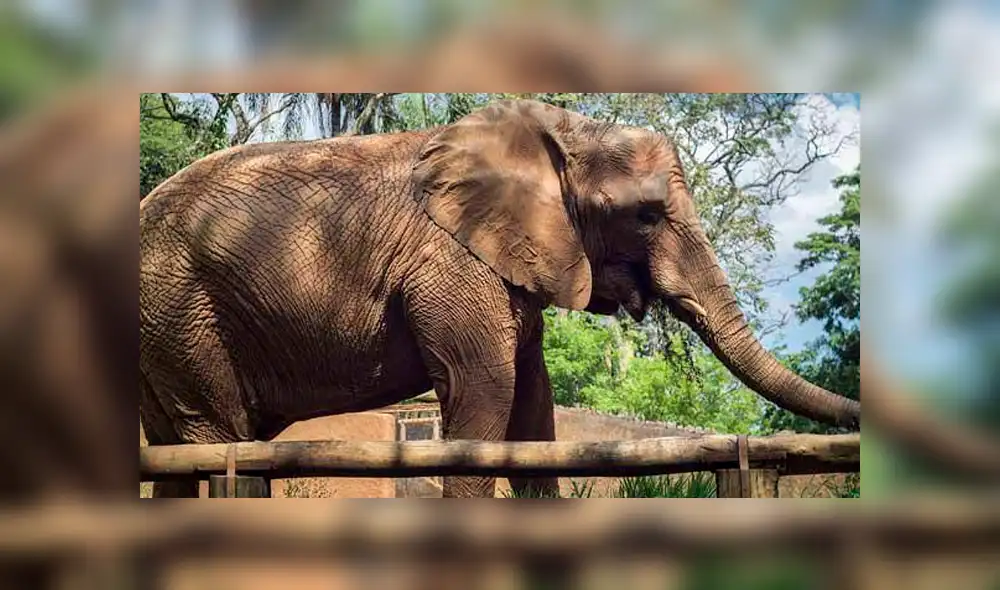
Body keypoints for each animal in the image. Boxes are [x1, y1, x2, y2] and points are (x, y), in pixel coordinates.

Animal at [139, 99, 861, 498]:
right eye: (647, 216)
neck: (564, 132)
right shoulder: (453, 264)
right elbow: (485, 396)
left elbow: (533, 417)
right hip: (184, 313)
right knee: (219, 443)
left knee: (173, 459)